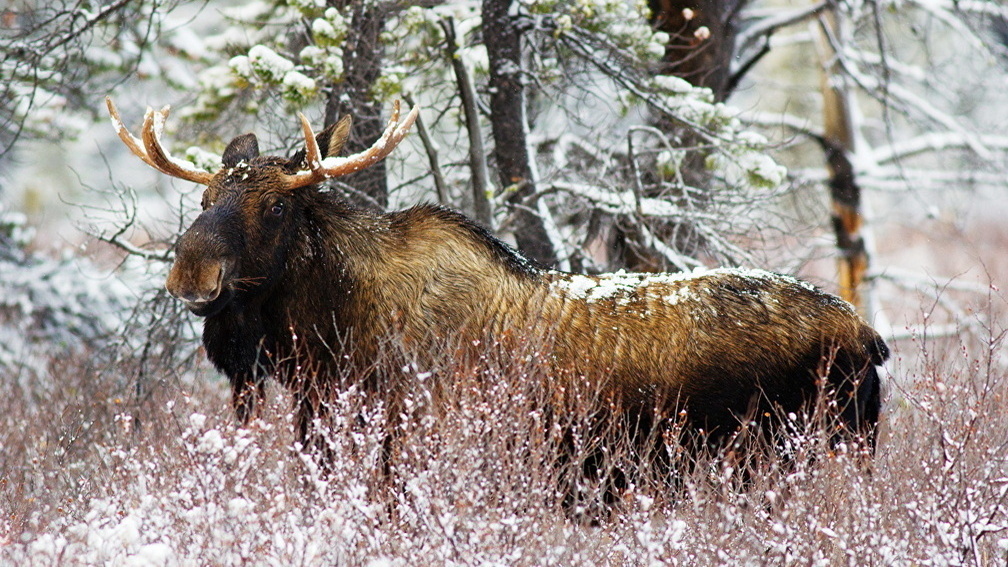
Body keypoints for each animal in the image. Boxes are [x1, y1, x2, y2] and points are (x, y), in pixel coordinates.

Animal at [104, 96, 891, 466]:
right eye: (205, 200)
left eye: (275, 206)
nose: (191, 272)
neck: (325, 339)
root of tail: (870, 337)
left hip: (803, 453)